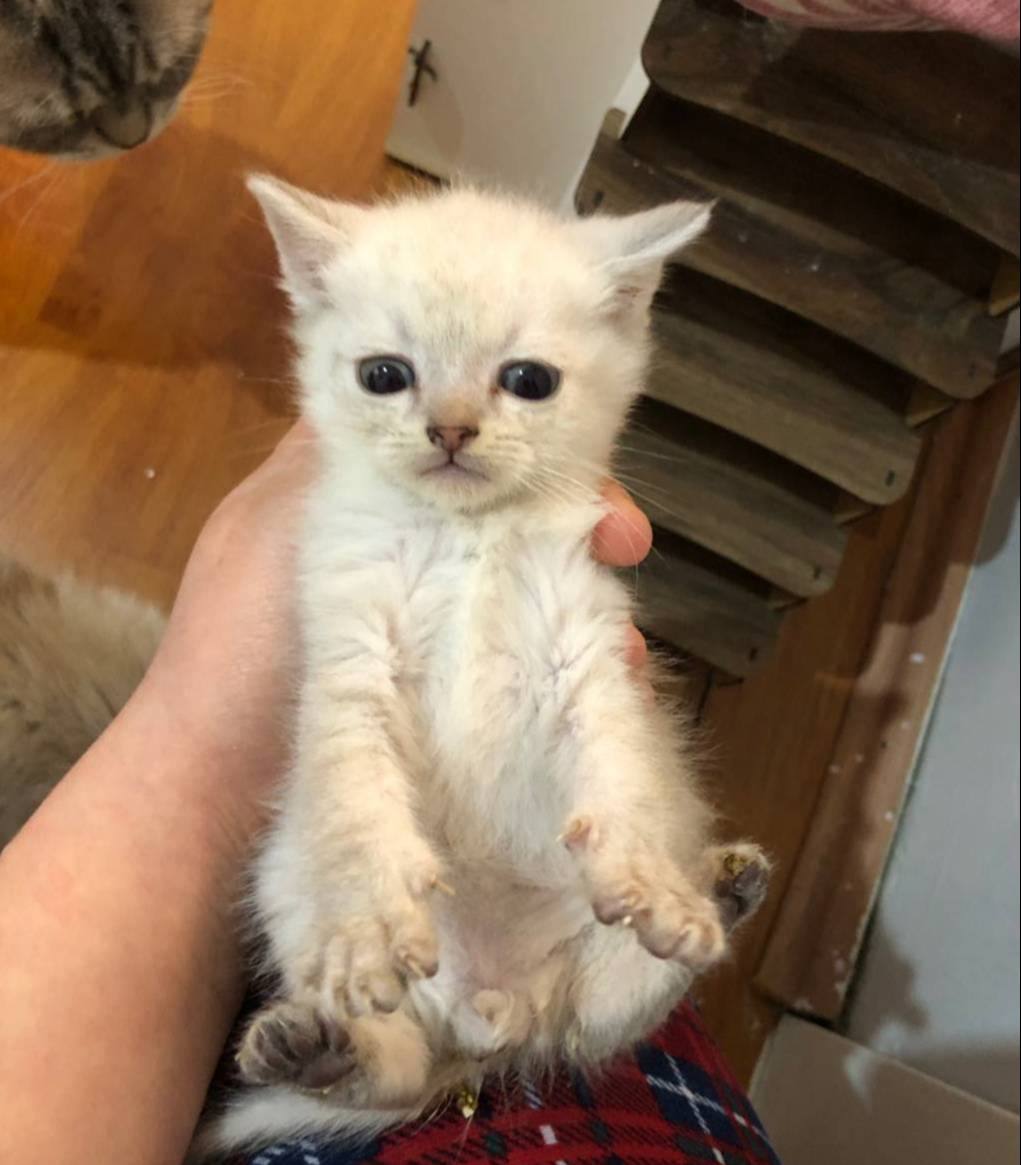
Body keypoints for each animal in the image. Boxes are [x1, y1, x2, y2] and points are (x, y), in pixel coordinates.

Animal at [192, 176, 771, 1158]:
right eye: (383, 374)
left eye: (528, 380)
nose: (450, 429)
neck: (467, 537)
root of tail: (494, 1012)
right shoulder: (348, 655)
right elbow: (355, 805)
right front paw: (368, 919)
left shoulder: (591, 652)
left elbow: (623, 774)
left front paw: (653, 879)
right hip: (286, 879)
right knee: (398, 1067)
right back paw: (317, 1045)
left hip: (576, 963)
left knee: (597, 1016)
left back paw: (717, 891)